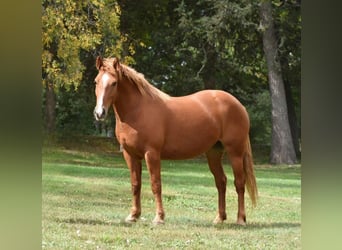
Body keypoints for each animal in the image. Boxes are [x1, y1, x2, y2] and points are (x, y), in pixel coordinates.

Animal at [93, 56, 256, 225]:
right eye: (96, 81)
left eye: (114, 83)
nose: (99, 113)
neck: (138, 110)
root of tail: (238, 105)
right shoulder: (130, 154)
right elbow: (135, 185)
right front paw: (133, 215)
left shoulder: (151, 153)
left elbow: (156, 184)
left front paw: (159, 217)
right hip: (214, 153)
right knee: (221, 182)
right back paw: (219, 218)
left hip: (235, 152)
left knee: (239, 183)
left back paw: (240, 219)